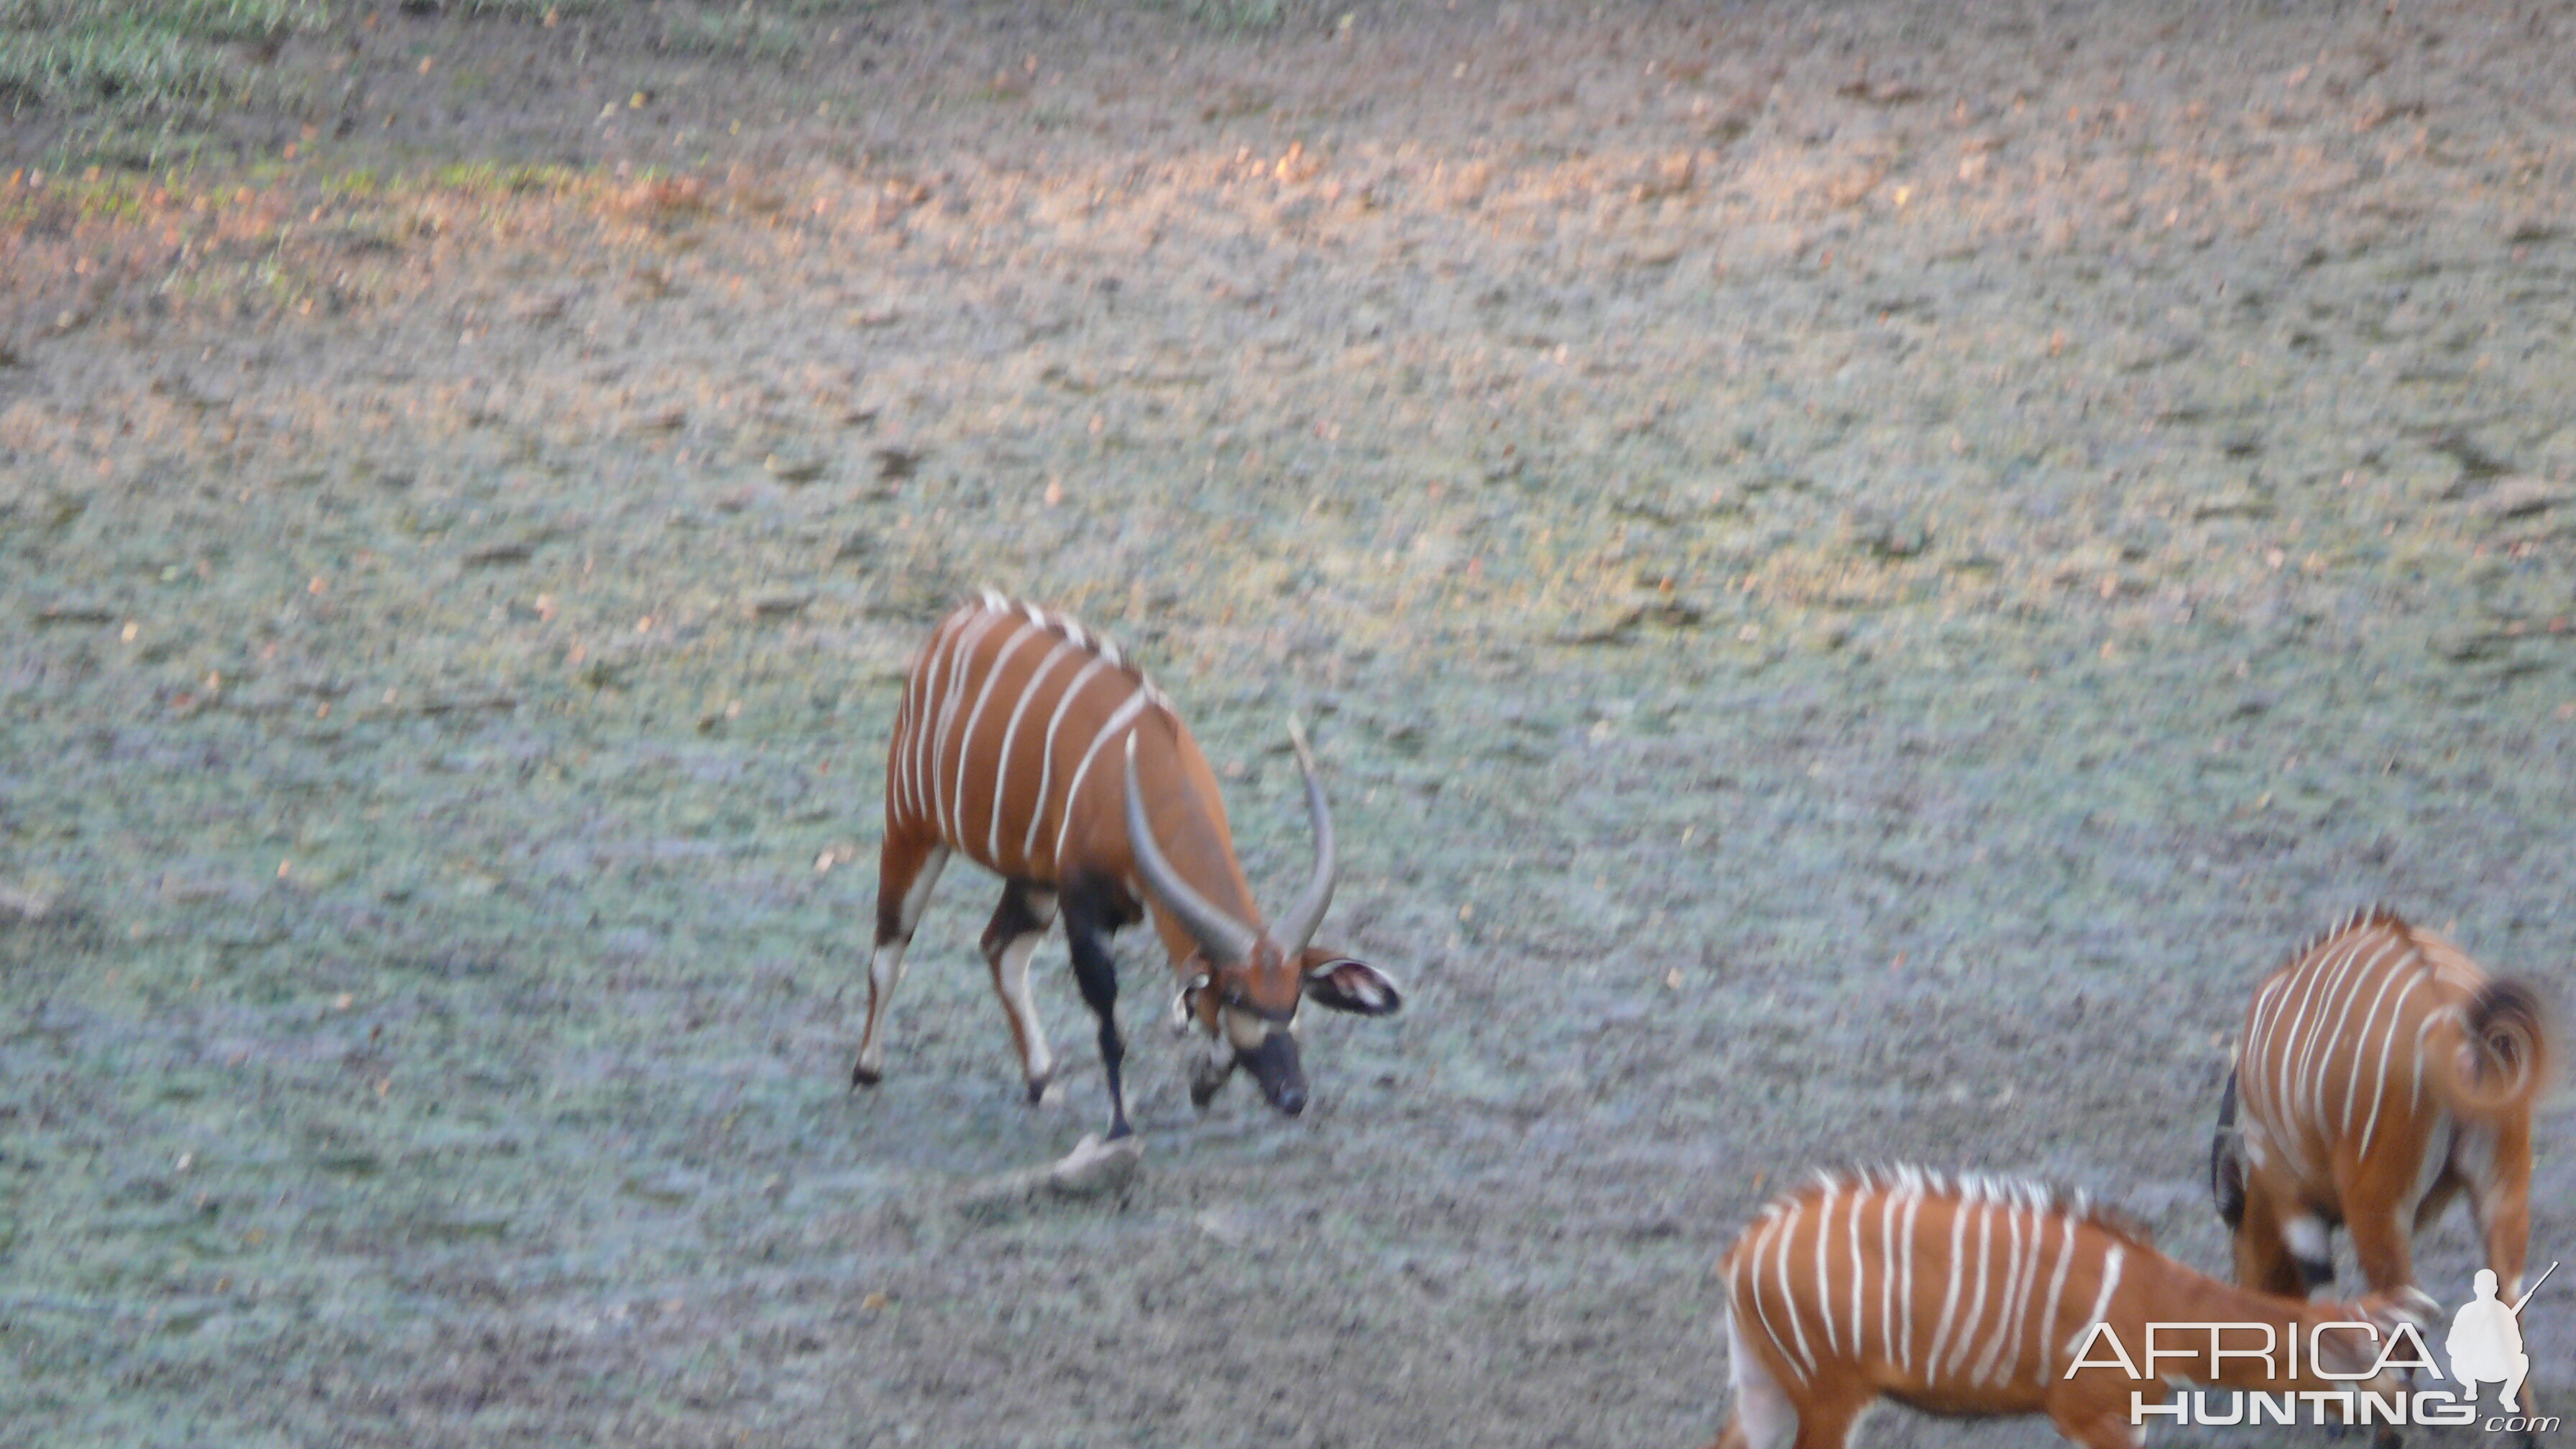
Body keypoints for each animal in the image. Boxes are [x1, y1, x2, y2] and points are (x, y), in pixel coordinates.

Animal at [855, 593, 1401, 1134]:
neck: (1152, 777)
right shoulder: (1084, 909)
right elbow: (1109, 1025)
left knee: (1000, 949)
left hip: (1032, 879)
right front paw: (1120, 1126)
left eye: (1293, 999)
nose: (1293, 1095)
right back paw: (867, 1071)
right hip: (911, 828)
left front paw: (1202, 1083)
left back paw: (1042, 1082)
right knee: (889, 948)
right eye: (1236, 998)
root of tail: (956, 620)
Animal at [1710, 1160, 2432, 1443]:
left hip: (1766, 1383)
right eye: (2361, 1359)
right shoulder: (2095, 1416)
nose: (2401, 1411)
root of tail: (1741, 1252)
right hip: (1830, 1392)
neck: (2162, 1308)